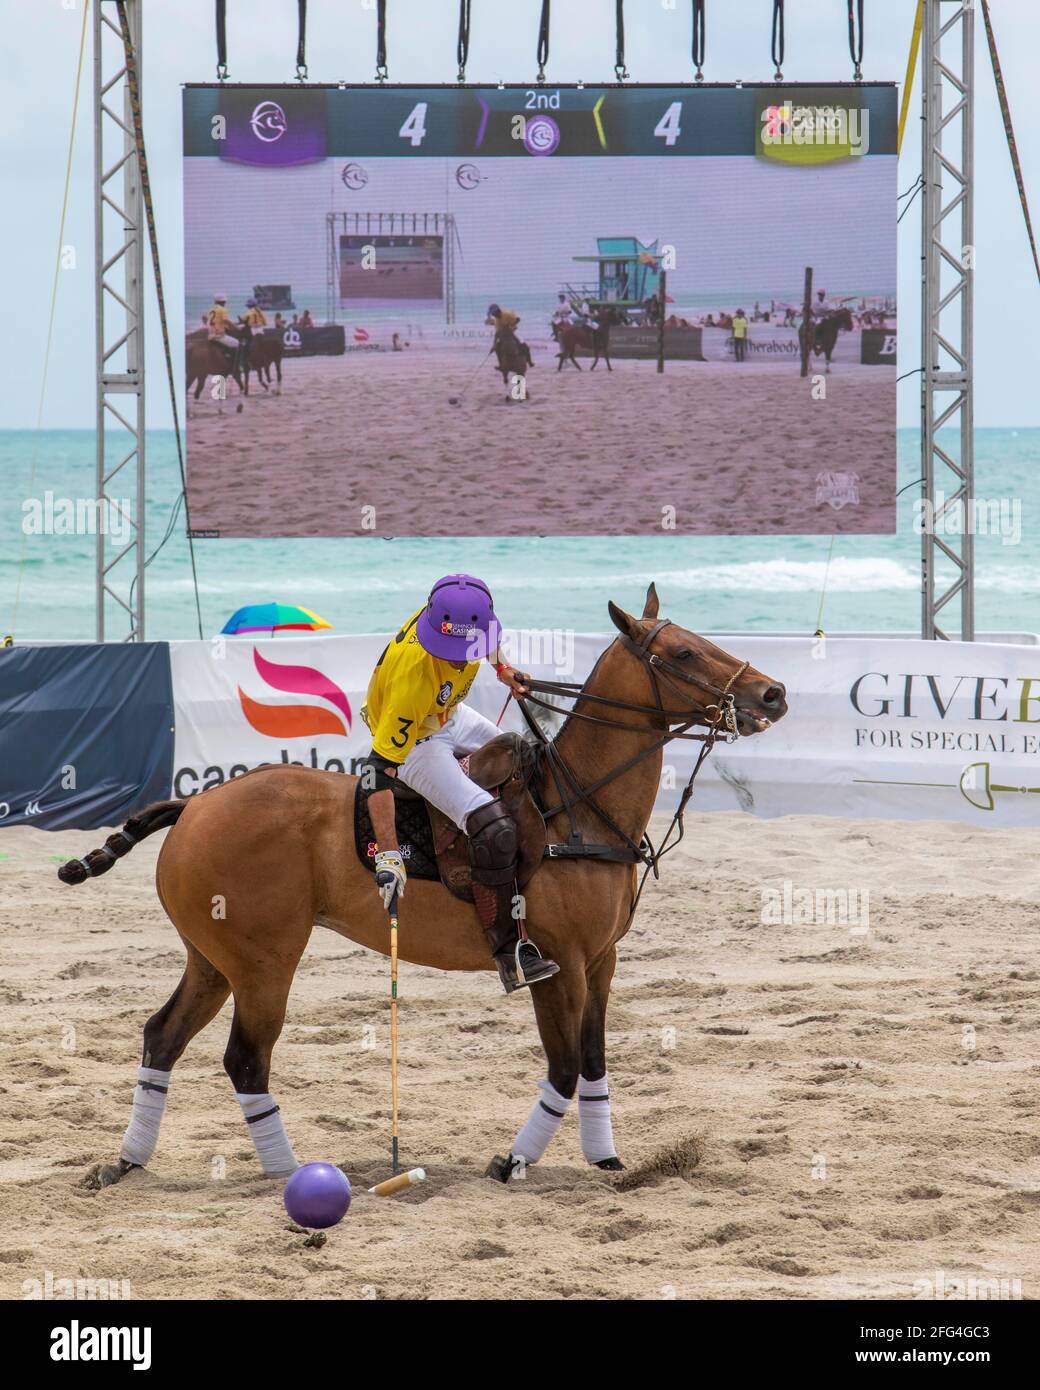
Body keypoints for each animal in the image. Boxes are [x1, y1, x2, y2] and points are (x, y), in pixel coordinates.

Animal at [60, 592, 784, 1189]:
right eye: (682, 652)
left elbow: (595, 1059)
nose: (773, 693)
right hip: (264, 960)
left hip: (213, 958)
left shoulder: (602, 961)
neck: (577, 806)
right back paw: (288, 1170)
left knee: (162, 1035)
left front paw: (607, 1160)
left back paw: (128, 1160)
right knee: (245, 1058)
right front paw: (512, 1161)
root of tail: (193, 804)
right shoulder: (560, 963)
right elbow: (563, 1065)